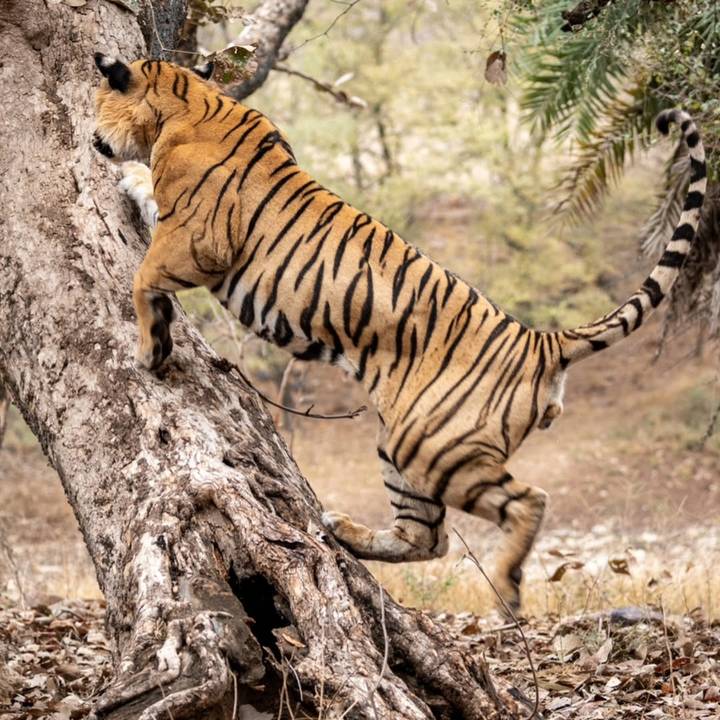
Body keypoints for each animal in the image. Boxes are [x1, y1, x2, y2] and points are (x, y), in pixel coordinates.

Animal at [93, 53, 706, 612]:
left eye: (98, 98)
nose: (95, 139)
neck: (187, 98)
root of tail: (542, 340)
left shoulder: (198, 242)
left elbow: (143, 275)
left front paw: (151, 349)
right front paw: (129, 180)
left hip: (434, 445)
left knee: (526, 502)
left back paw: (507, 587)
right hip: (402, 445)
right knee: (426, 537)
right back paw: (344, 531)